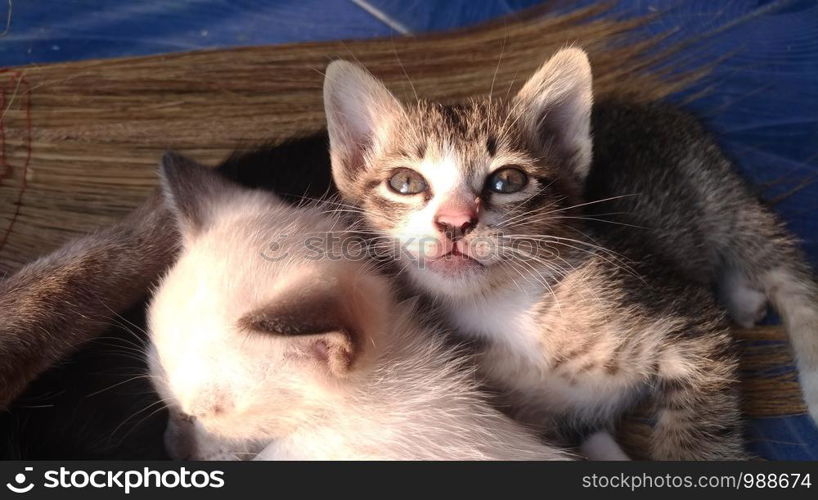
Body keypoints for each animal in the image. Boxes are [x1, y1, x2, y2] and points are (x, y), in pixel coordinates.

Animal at [322, 48, 748, 458]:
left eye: (508, 181)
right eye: (405, 182)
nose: (455, 221)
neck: (501, 310)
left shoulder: (681, 313)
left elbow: (702, 428)